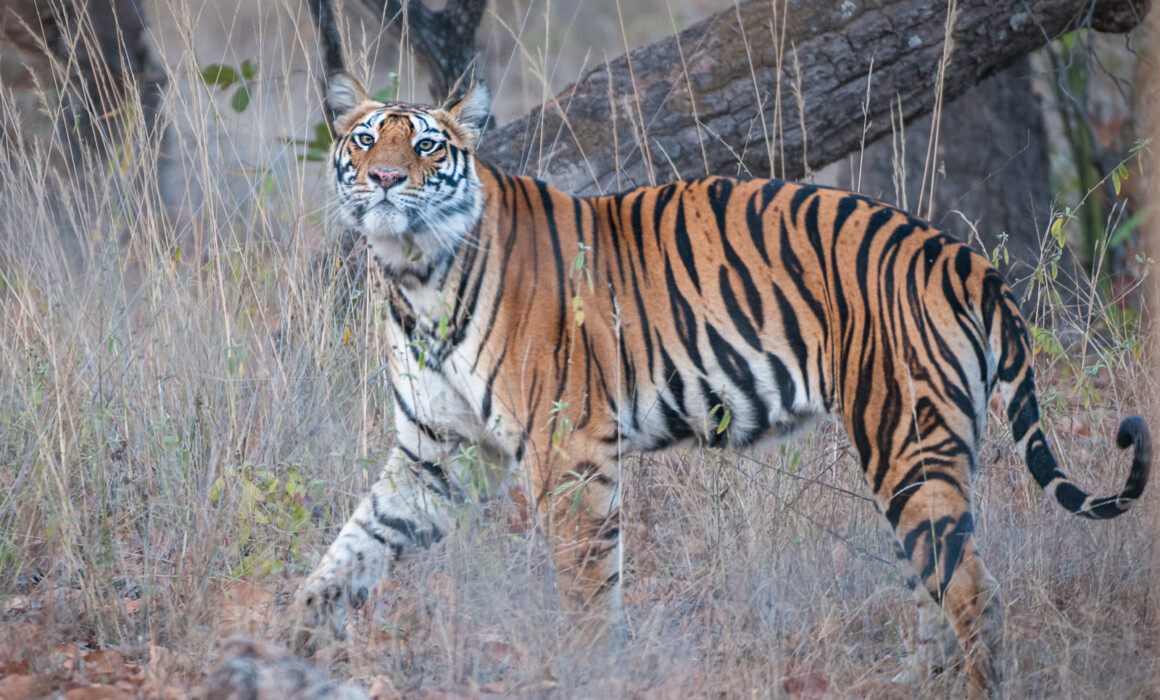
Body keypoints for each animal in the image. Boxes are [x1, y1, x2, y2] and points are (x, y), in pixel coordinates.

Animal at [285, 70, 1151, 700]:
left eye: (429, 148)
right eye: (365, 138)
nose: (385, 178)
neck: (415, 276)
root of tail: (959, 254)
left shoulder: (569, 453)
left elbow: (586, 590)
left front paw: (590, 673)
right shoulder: (435, 455)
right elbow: (348, 555)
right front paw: (287, 645)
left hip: (907, 441)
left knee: (974, 593)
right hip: (912, 462)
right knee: (932, 592)